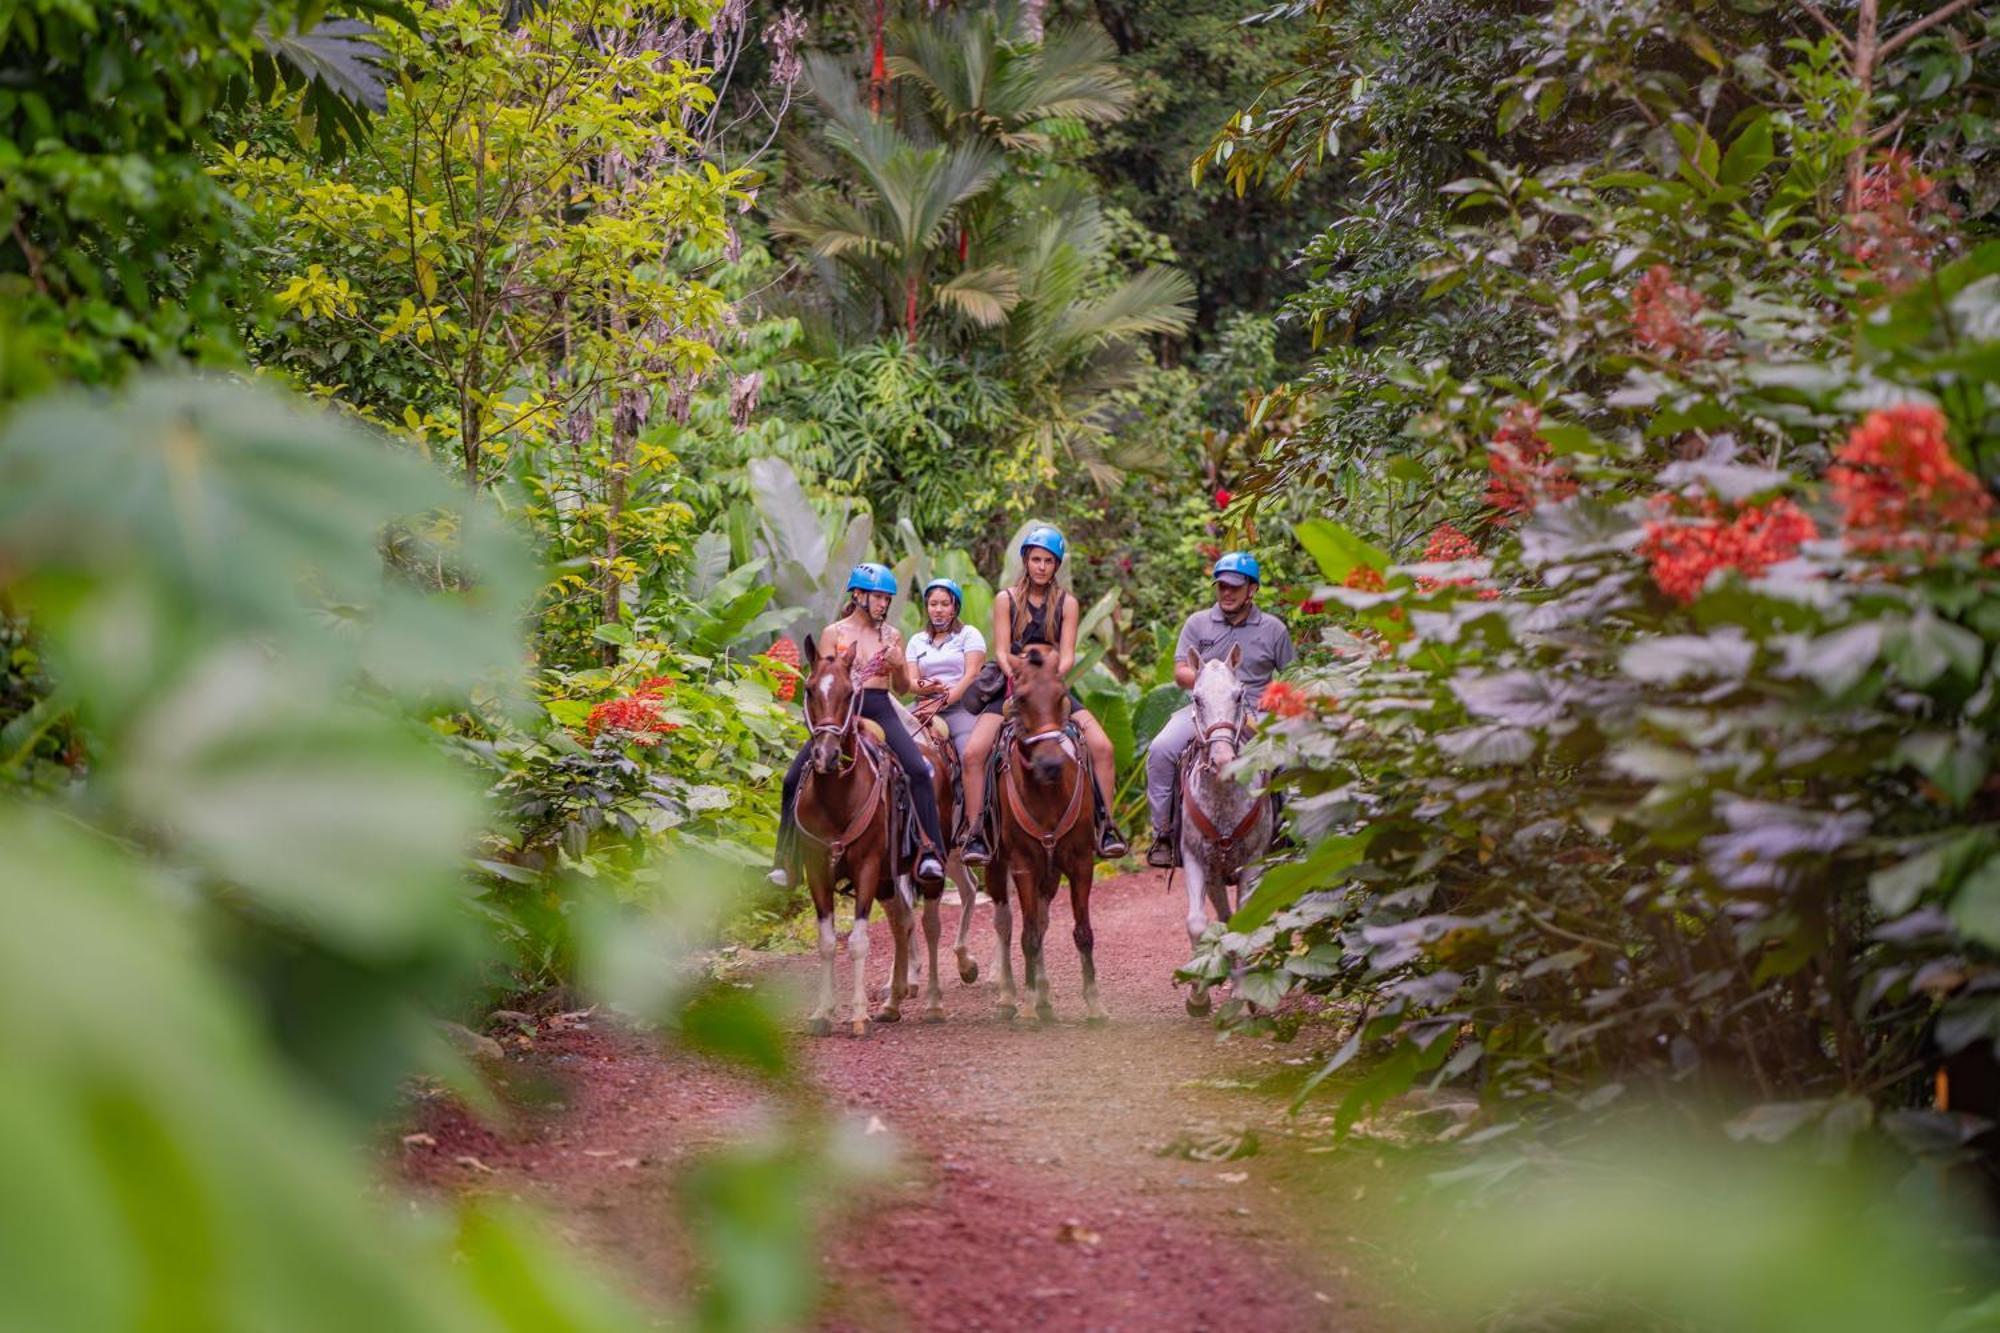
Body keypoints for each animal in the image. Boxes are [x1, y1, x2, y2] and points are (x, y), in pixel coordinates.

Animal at [800, 640, 916, 1032]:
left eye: (850, 693)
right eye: (809, 689)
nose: (826, 754)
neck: (837, 797)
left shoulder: (867, 866)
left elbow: (858, 942)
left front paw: (859, 1014)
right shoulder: (816, 867)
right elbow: (826, 942)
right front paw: (822, 1012)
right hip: (888, 879)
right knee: (902, 922)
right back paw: (894, 1001)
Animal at [988, 644, 1112, 1016]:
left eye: (1061, 695)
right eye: (1021, 697)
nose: (1050, 764)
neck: (1047, 793)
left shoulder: (1081, 862)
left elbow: (1082, 932)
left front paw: (1094, 1003)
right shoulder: (1023, 865)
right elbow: (1027, 935)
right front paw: (1028, 1006)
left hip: (1052, 869)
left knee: (1041, 921)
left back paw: (1043, 995)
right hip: (997, 864)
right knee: (1005, 921)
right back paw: (1010, 995)